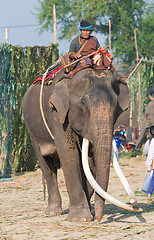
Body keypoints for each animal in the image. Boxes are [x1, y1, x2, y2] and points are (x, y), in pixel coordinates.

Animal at [22, 67, 141, 221]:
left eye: (116, 107)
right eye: (84, 104)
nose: (99, 218)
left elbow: (91, 162)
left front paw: (89, 213)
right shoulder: (57, 114)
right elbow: (69, 156)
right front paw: (80, 218)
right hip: (32, 131)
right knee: (47, 165)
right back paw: (53, 212)